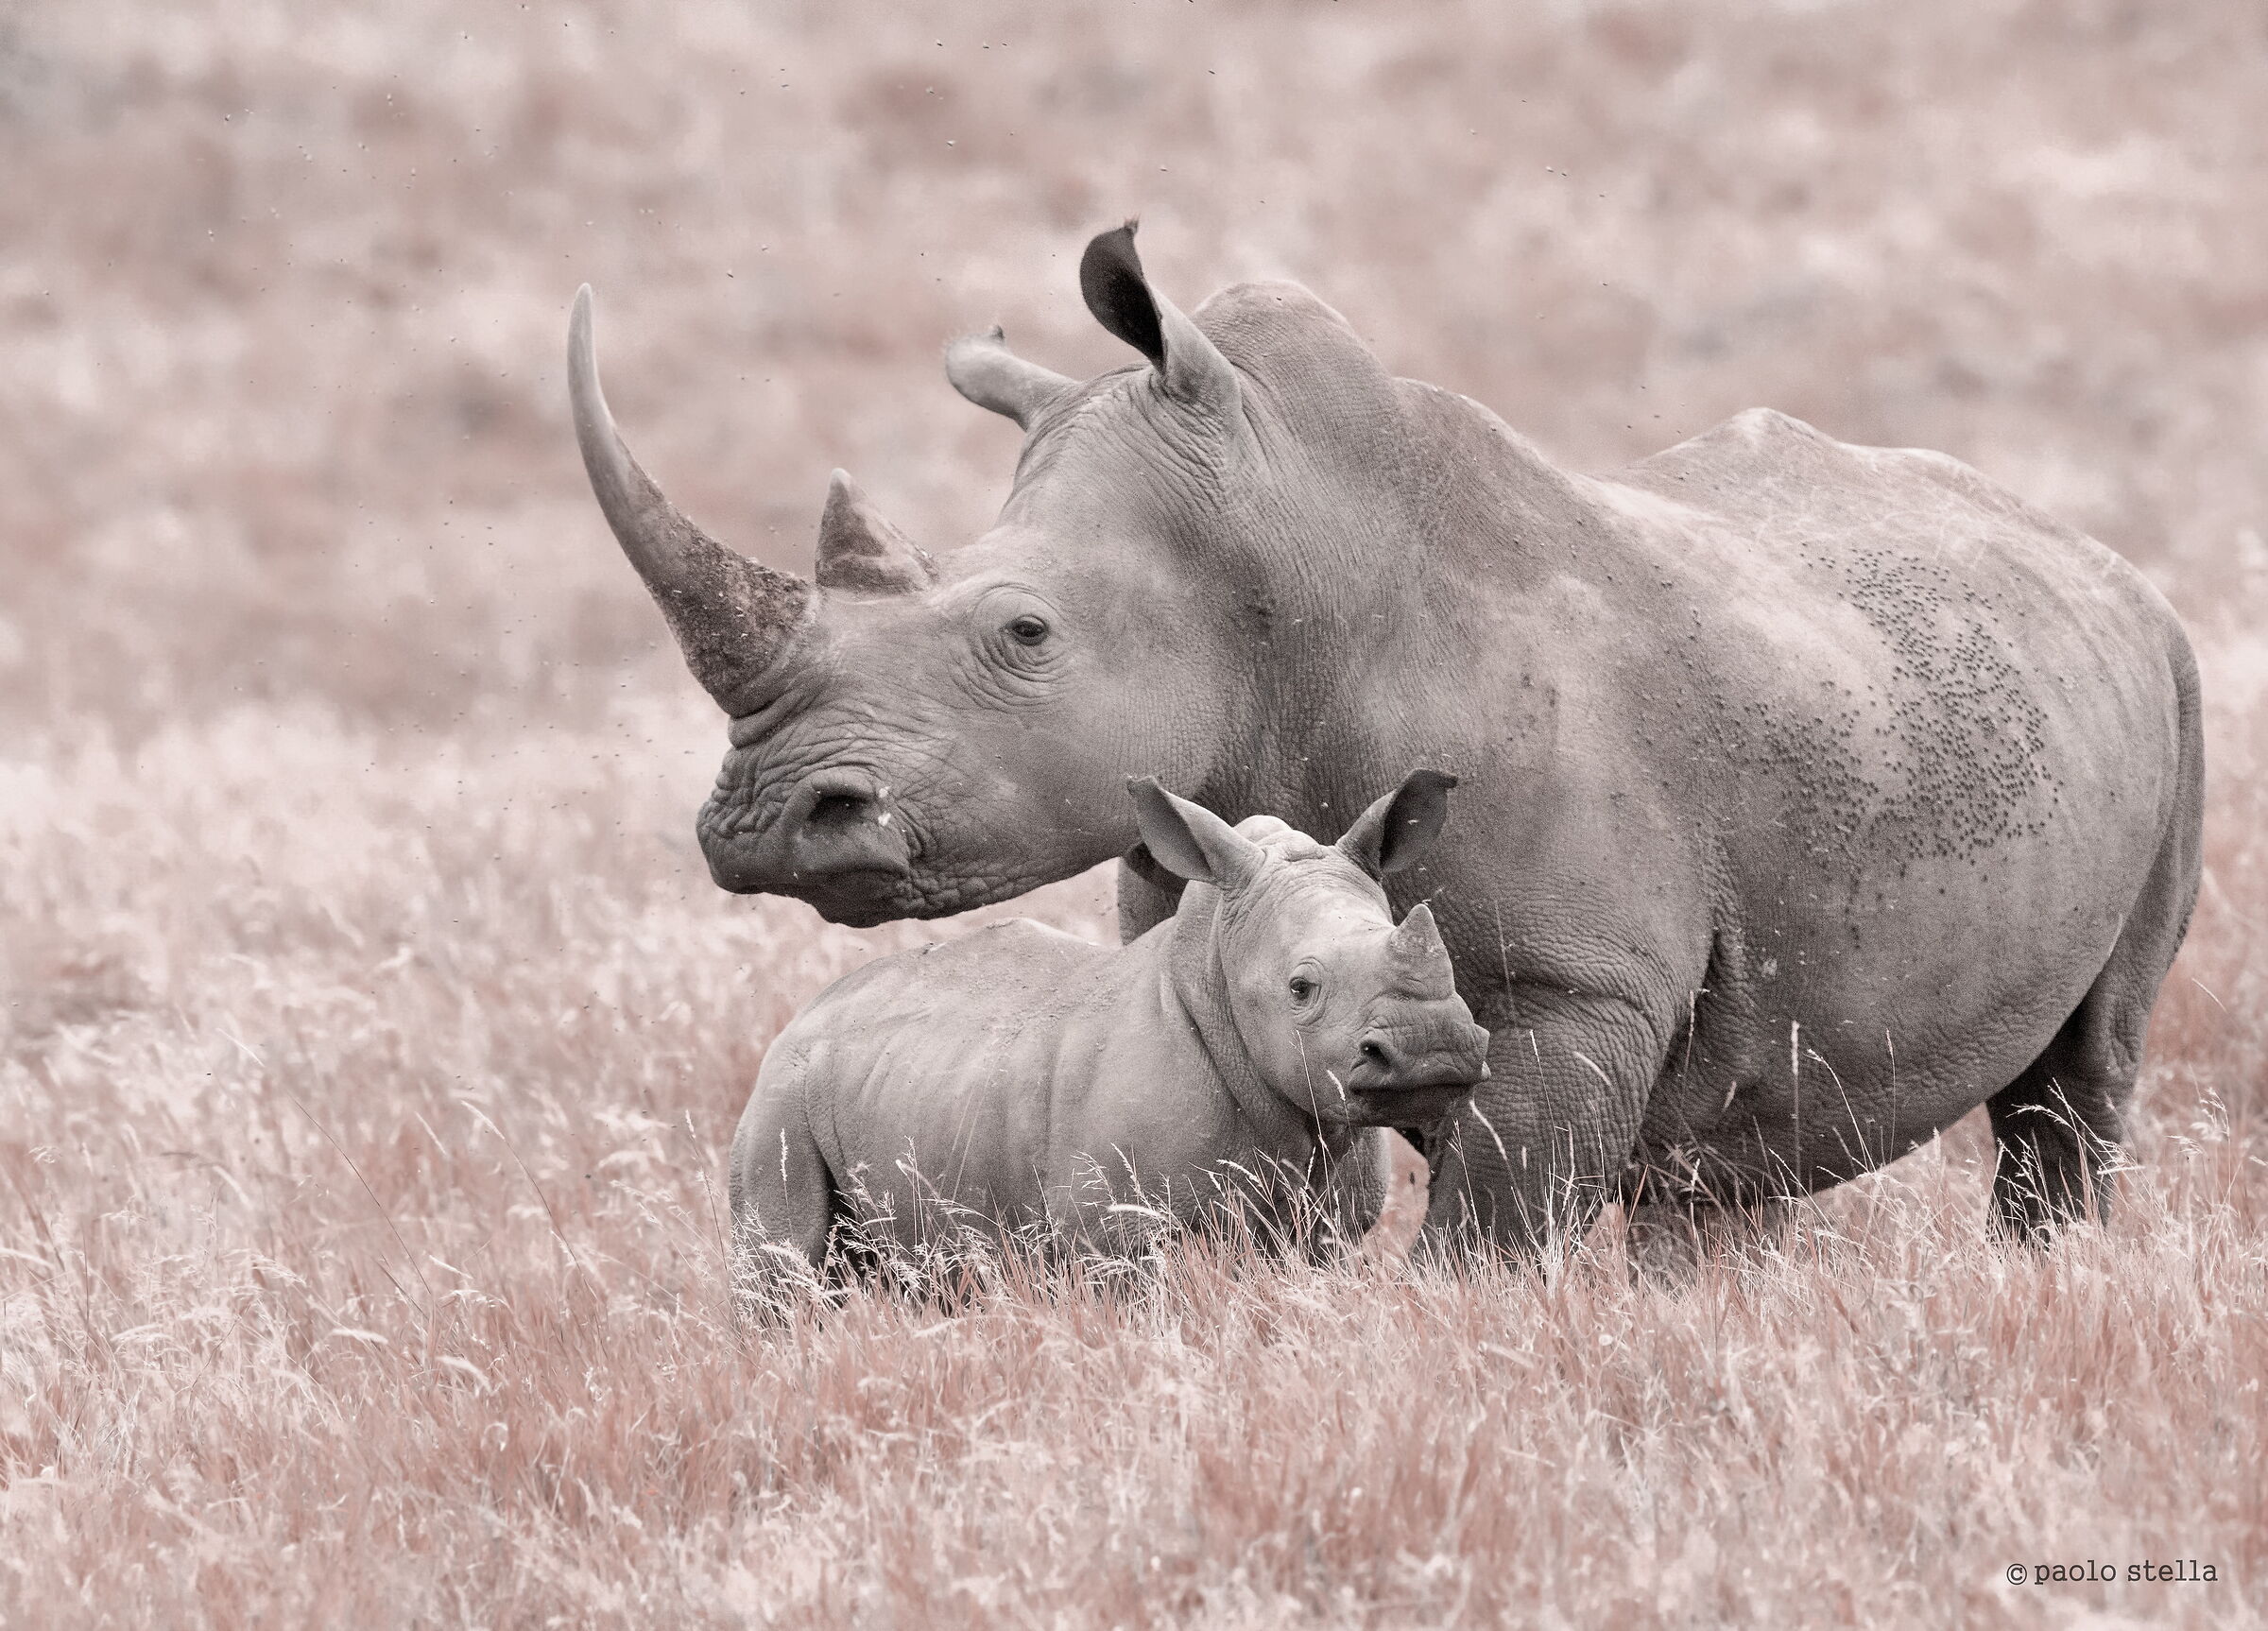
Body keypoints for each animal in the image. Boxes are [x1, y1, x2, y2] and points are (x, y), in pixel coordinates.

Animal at [727, 771, 1490, 1282]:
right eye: (1301, 990)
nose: (1433, 1047)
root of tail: (803, 1016)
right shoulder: (1113, 1233)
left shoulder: (1326, 1228)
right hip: (782, 1095)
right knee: (784, 1269)